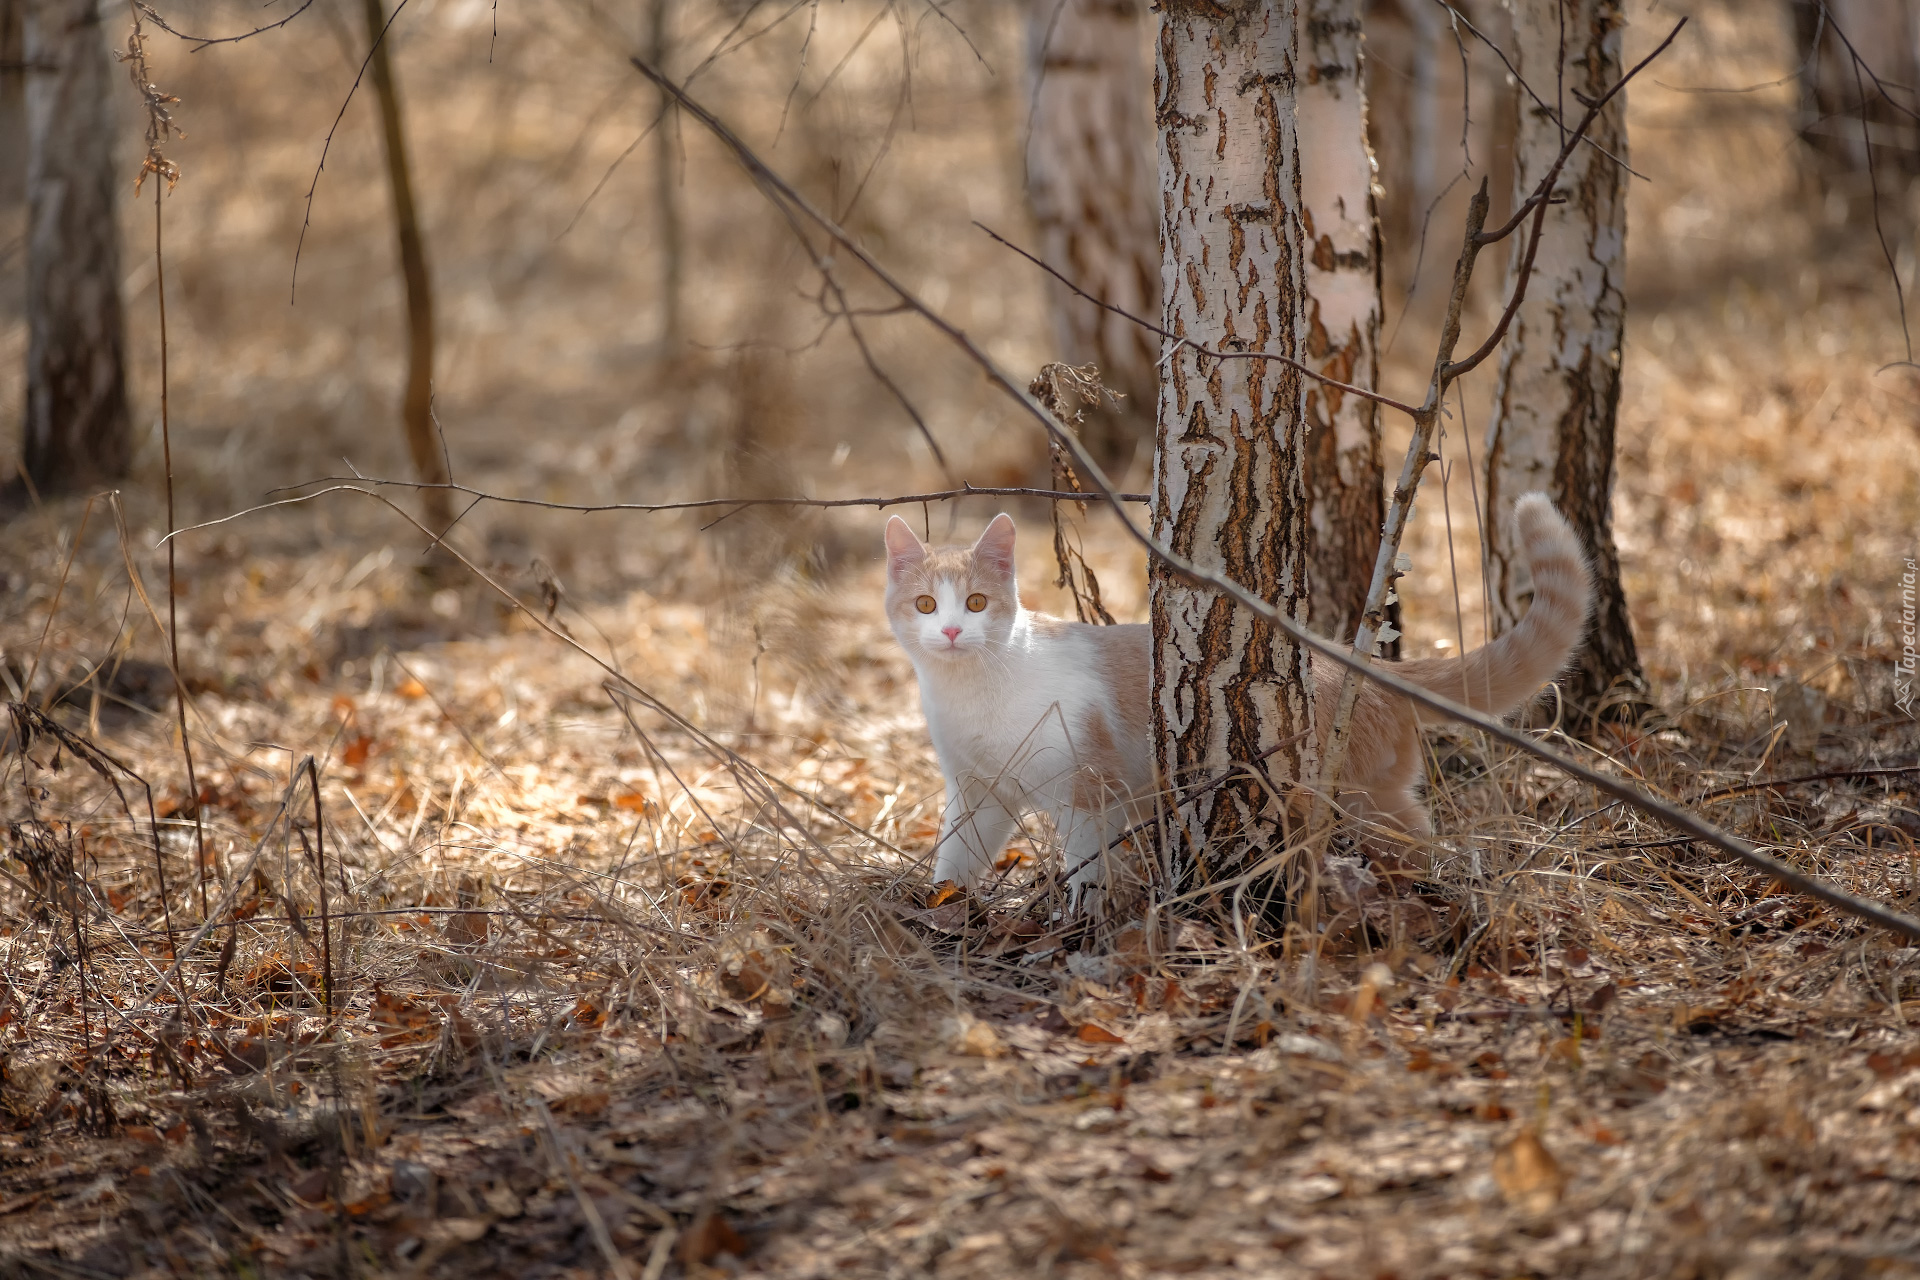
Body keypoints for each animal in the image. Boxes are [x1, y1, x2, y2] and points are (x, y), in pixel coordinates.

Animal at [883, 495, 1589, 905]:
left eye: (977, 602)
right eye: (927, 604)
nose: (952, 631)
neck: (976, 692)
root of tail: (1344, 658)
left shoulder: (1093, 795)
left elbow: (1089, 867)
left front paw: (1083, 921)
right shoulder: (978, 792)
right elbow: (957, 854)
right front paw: (942, 909)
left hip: (1346, 796)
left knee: (1415, 840)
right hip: (1374, 793)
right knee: (1417, 827)